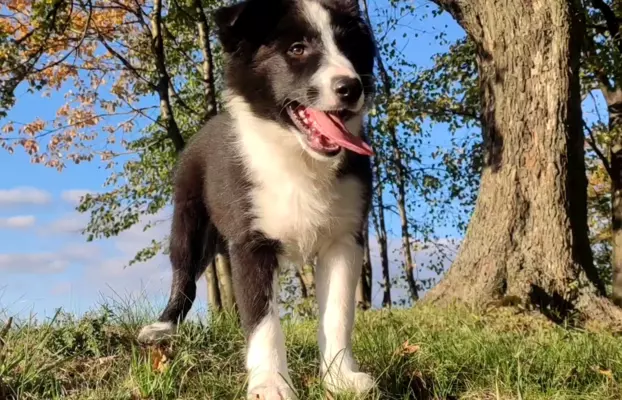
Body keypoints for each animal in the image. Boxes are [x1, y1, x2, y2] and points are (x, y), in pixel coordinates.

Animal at [139, 0, 378, 396]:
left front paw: (340, 377)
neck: (296, 157)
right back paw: (163, 326)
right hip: (190, 220)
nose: (351, 87)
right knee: (183, 276)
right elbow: (262, 321)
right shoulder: (250, 243)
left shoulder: (344, 238)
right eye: (297, 49)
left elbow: (338, 313)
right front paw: (270, 385)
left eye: (349, 48)